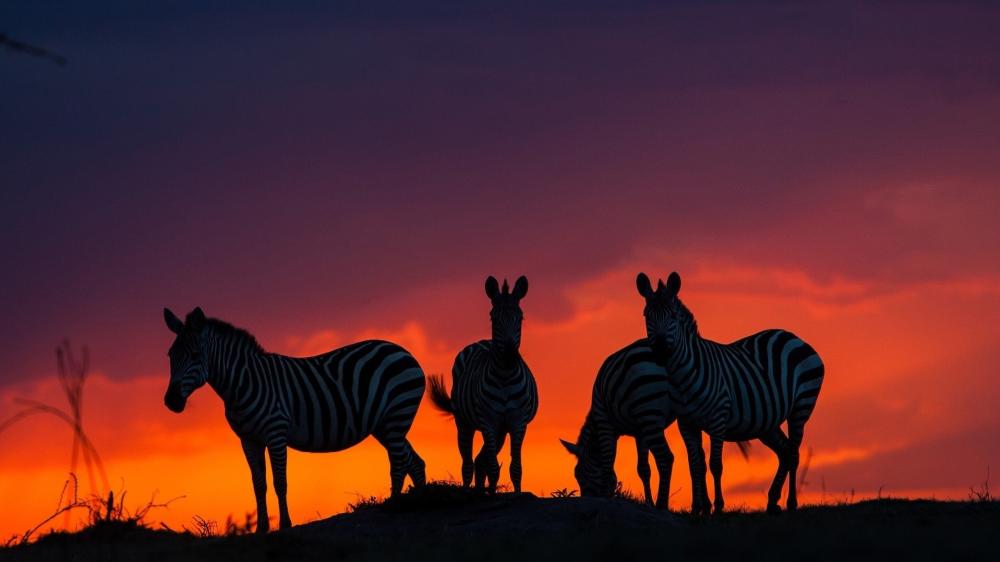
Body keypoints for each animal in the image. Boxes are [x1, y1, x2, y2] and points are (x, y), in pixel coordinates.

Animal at [162, 307, 427, 532]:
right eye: (170, 355)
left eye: (195, 355)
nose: (171, 401)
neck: (242, 384)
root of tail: (402, 350)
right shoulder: (249, 439)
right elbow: (258, 484)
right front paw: (261, 529)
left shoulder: (275, 433)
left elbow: (280, 482)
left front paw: (285, 525)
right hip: (386, 425)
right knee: (414, 461)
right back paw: (418, 502)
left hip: (397, 415)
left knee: (399, 462)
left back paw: (394, 506)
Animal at [428, 275, 538, 493]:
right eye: (493, 319)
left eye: (520, 318)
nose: (510, 356)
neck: (505, 376)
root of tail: (482, 341)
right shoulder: (489, 422)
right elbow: (494, 468)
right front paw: (493, 495)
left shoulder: (517, 422)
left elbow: (515, 468)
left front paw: (516, 493)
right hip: (464, 423)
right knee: (468, 463)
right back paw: (470, 492)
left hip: (500, 431)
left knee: (480, 461)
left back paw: (481, 491)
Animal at [559, 340, 678, 508]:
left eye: (579, 475)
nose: (587, 499)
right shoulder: (640, 433)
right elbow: (643, 469)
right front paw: (648, 503)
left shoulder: (604, 422)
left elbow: (607, 465)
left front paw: (606, 498)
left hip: (649, 412)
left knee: (665, 458)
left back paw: (662, 506)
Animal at [636, 272, 825, 515]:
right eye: (646, 315)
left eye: (673, 316)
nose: (660, 351)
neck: (683, 377)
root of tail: (792, 336)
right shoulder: (686, 423)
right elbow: (695, 465)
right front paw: (698, 509)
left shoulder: (718, 418)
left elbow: (716, 465)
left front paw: (717, 507)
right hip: (766, 421)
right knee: (784, 452)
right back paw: (772, 501)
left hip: (800, 409)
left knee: (793, 453)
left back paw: (791, 503)